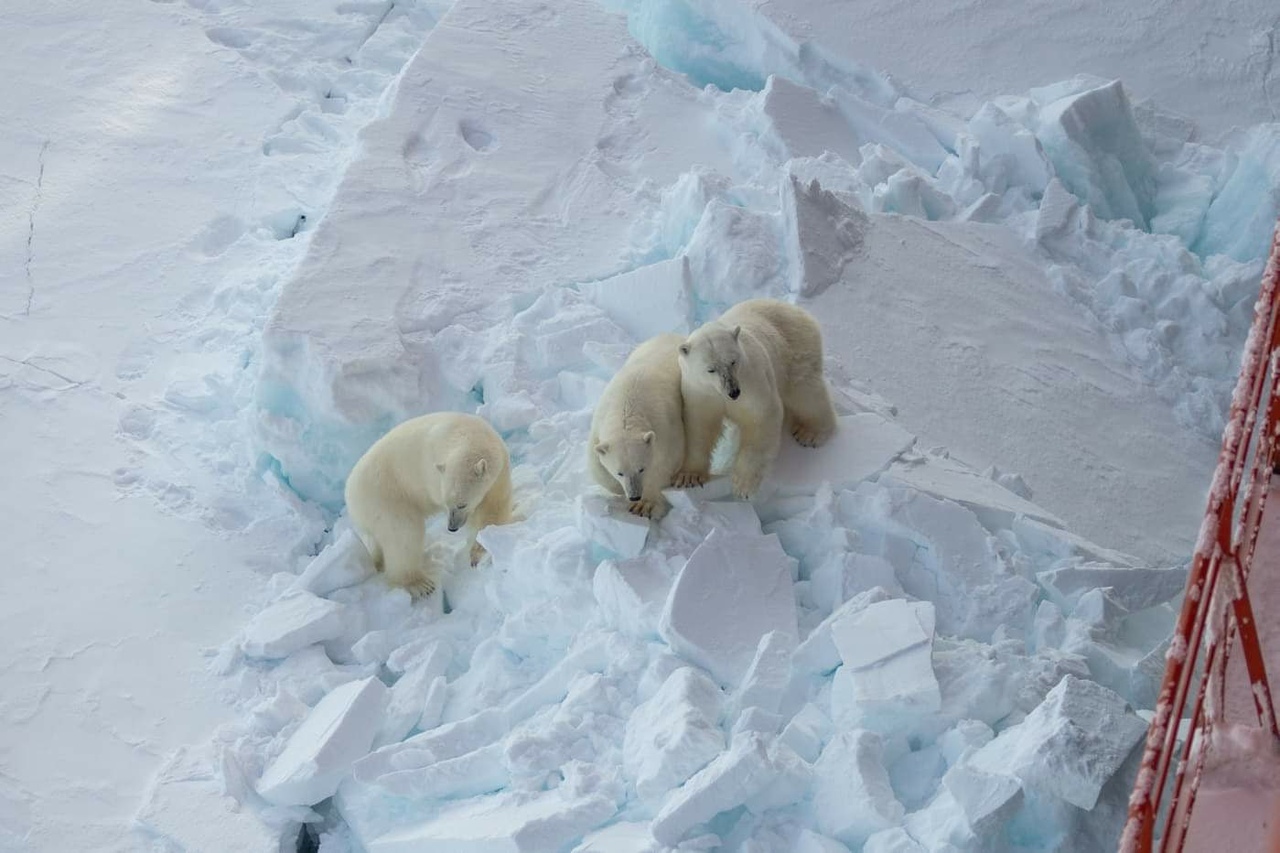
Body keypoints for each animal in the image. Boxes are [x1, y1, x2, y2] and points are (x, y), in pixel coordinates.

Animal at [348, 409, 517, 594]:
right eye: (446, 504)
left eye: (461, 504)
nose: (452, 528)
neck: (470, 434)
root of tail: (349, 493)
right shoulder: (432, 474)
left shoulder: (499, 470)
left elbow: (493, 507)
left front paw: (479, 550)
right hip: (384, 497)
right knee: (404, 533)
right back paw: (419, 583)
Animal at [588, 333, 691, 517]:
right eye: (620, 472)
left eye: (641, 469)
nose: (634, 495)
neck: (627, 409)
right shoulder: (599, 425)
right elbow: (597, 465)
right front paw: (618, 490)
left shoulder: (666, 430)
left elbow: (664, 466)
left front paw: (645, 506)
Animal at [675, 297, 834, 499]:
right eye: (710, 369)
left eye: (733, 361)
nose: (733, 392)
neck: (720, 394)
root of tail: (796, 310)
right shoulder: (700, 391)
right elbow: (699, 427)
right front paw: (688, 476)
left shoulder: (752, 380)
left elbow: (760, 419)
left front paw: (743, 485)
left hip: (796, 350)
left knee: (805, 391)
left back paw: (810, 433)